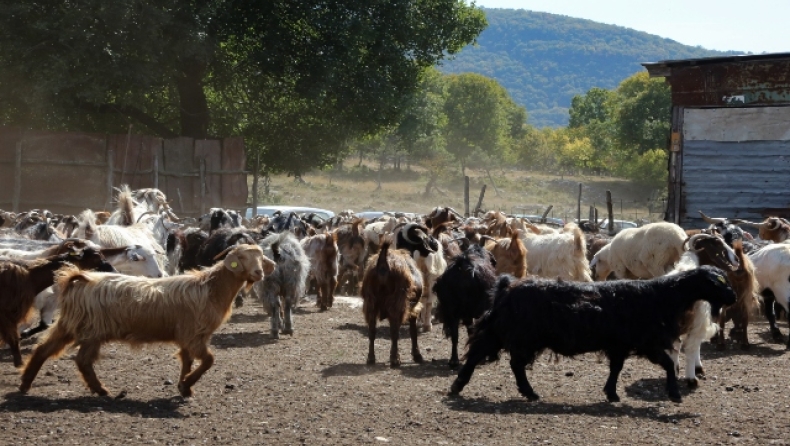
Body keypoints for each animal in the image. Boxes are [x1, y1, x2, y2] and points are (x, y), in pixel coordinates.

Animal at [454, 264, 740, 404]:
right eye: (718, 283)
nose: (734, 297)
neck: (661, 296)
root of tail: (507, 286)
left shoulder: (621, 344)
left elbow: (616, 368)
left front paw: (611, 394)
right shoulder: (646, 341)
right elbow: (669, 364)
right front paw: (675, 394)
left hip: (503, 332)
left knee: (485, 354)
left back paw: (460, 386)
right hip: (519, 334)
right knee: (507, 361)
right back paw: (526, 392)